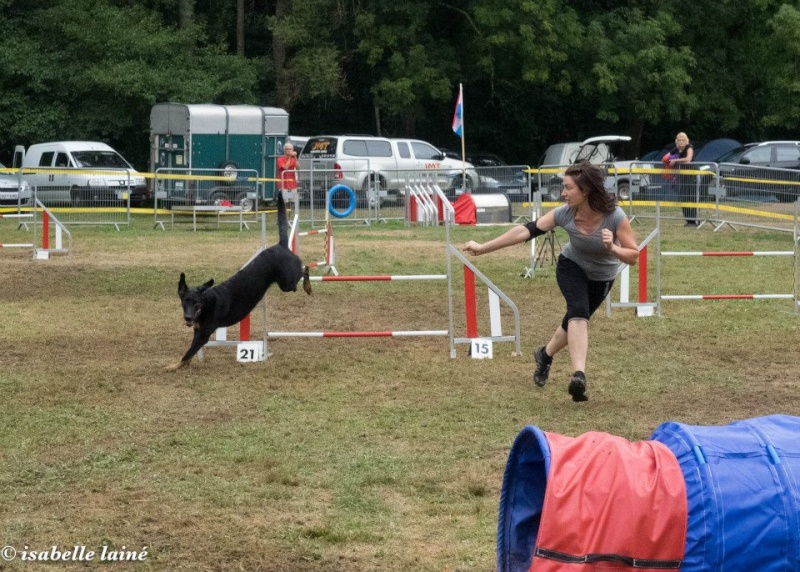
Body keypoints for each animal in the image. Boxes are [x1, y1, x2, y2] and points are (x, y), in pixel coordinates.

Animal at [169, 193, 312, 370]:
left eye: (196, 303)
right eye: (184, 302)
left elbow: (188, 352)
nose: (188, 318)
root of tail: (281, 245)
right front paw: (184, 365)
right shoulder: (197, 330)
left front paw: (173, 366)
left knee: (304, 268)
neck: (207, 304)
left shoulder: (203, 334)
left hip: (287, 282)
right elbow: (190, 353)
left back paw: (308, 286)